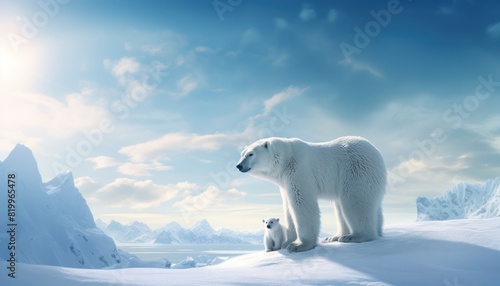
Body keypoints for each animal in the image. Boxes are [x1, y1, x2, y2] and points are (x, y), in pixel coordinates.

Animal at [235, 136, 386, 252]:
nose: (239, 166)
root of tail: (377, 153)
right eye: (242, 154)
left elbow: (302, 202)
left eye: (251, 154)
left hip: (356, 171)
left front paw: (299, 245)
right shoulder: (284, 181)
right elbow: (288, 207)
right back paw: (335, 236)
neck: (286, 160)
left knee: (355, 202)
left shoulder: (299, 170)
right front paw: (287, 242)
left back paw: (355, 236)